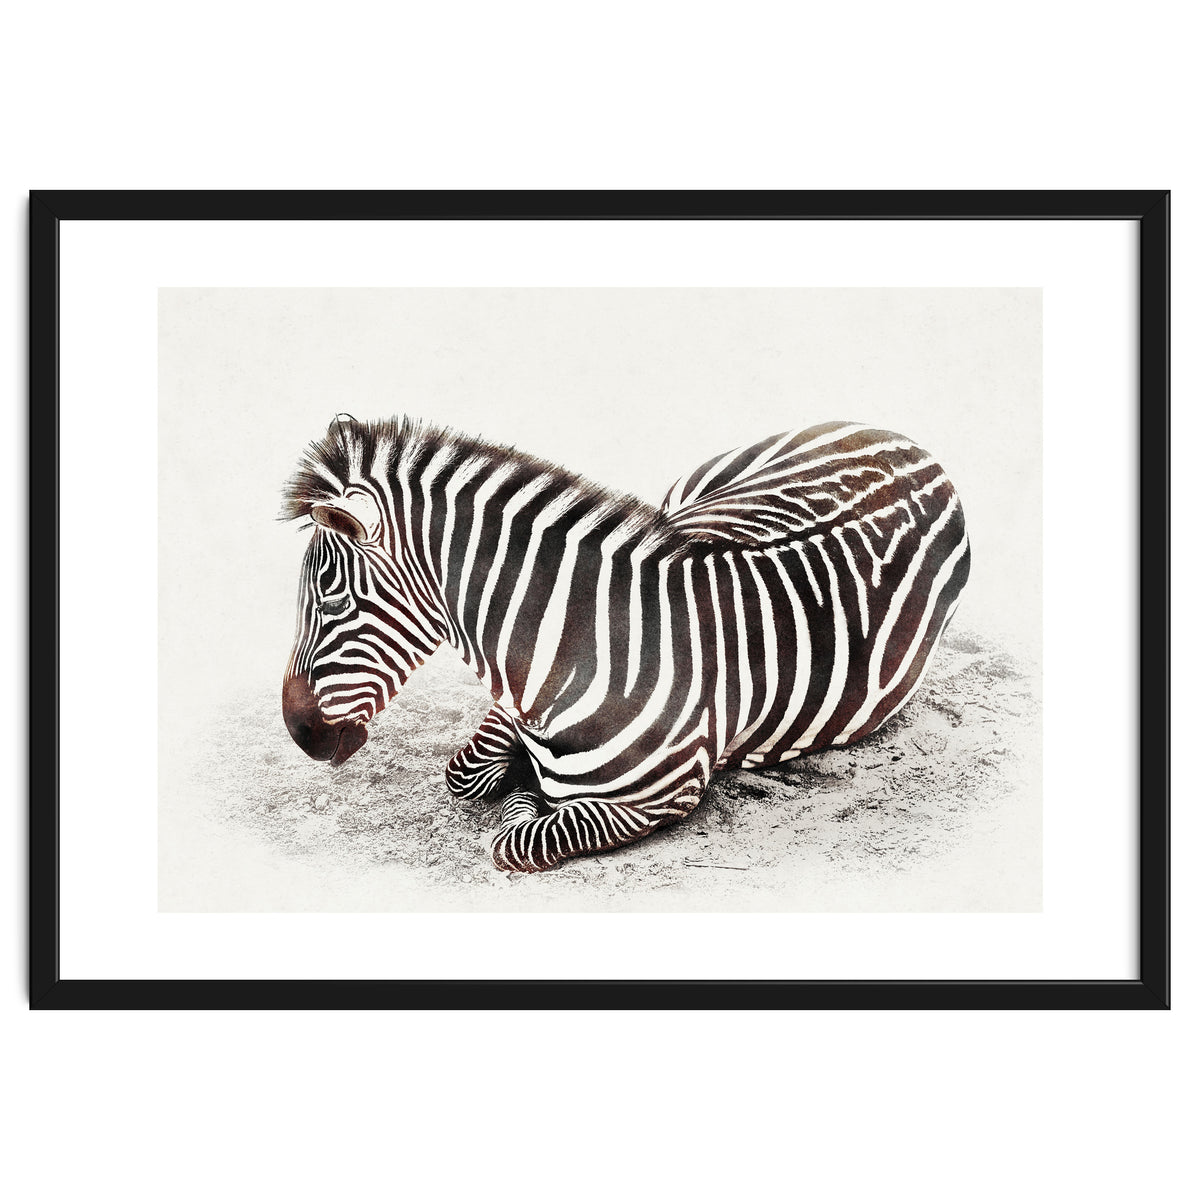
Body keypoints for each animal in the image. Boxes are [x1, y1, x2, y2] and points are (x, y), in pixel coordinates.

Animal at [282, 414, 970, 873]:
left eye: (333, 600)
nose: (299, 733)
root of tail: (918, 447)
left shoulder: (662, 796)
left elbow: (517, 836)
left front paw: (527, 793)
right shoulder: (510, 704)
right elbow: (467, 774)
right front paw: (518, 776)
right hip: (688, 496)